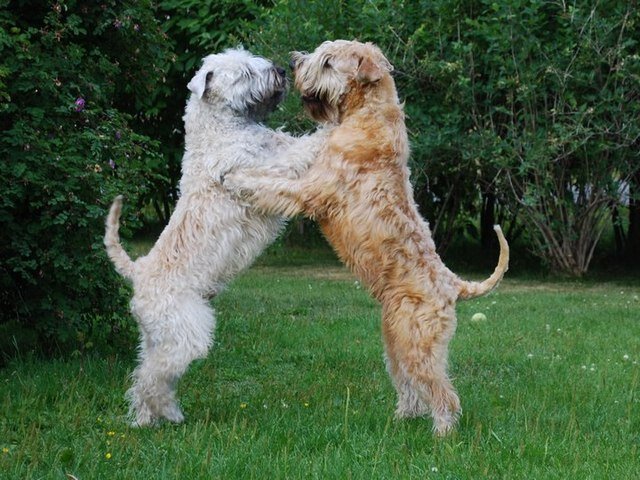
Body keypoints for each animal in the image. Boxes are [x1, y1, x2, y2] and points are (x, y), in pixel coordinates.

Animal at [107, 47, 324, 424]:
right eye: (244, 72)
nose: (281, 70)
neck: (220, 128)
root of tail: (138, 272)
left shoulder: (272, 147)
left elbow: (291, 141)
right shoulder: (264, 169)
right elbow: (299, 150)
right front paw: (330, 133)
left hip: (155, 338)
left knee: (147, 375)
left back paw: (154, 417)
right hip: (186, 334)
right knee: (150, 378)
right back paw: (161, 416)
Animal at [225, 41, 510, 436]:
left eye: (329, 62)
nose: (294, 62)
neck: (366, 113)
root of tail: (453, 285)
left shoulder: (313, 189)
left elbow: (274, 186)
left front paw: (237, 180)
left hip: (417, 341)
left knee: (441, 391)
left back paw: (442, 433)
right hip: (395, 338)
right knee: (409, 383)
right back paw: (402, 417)